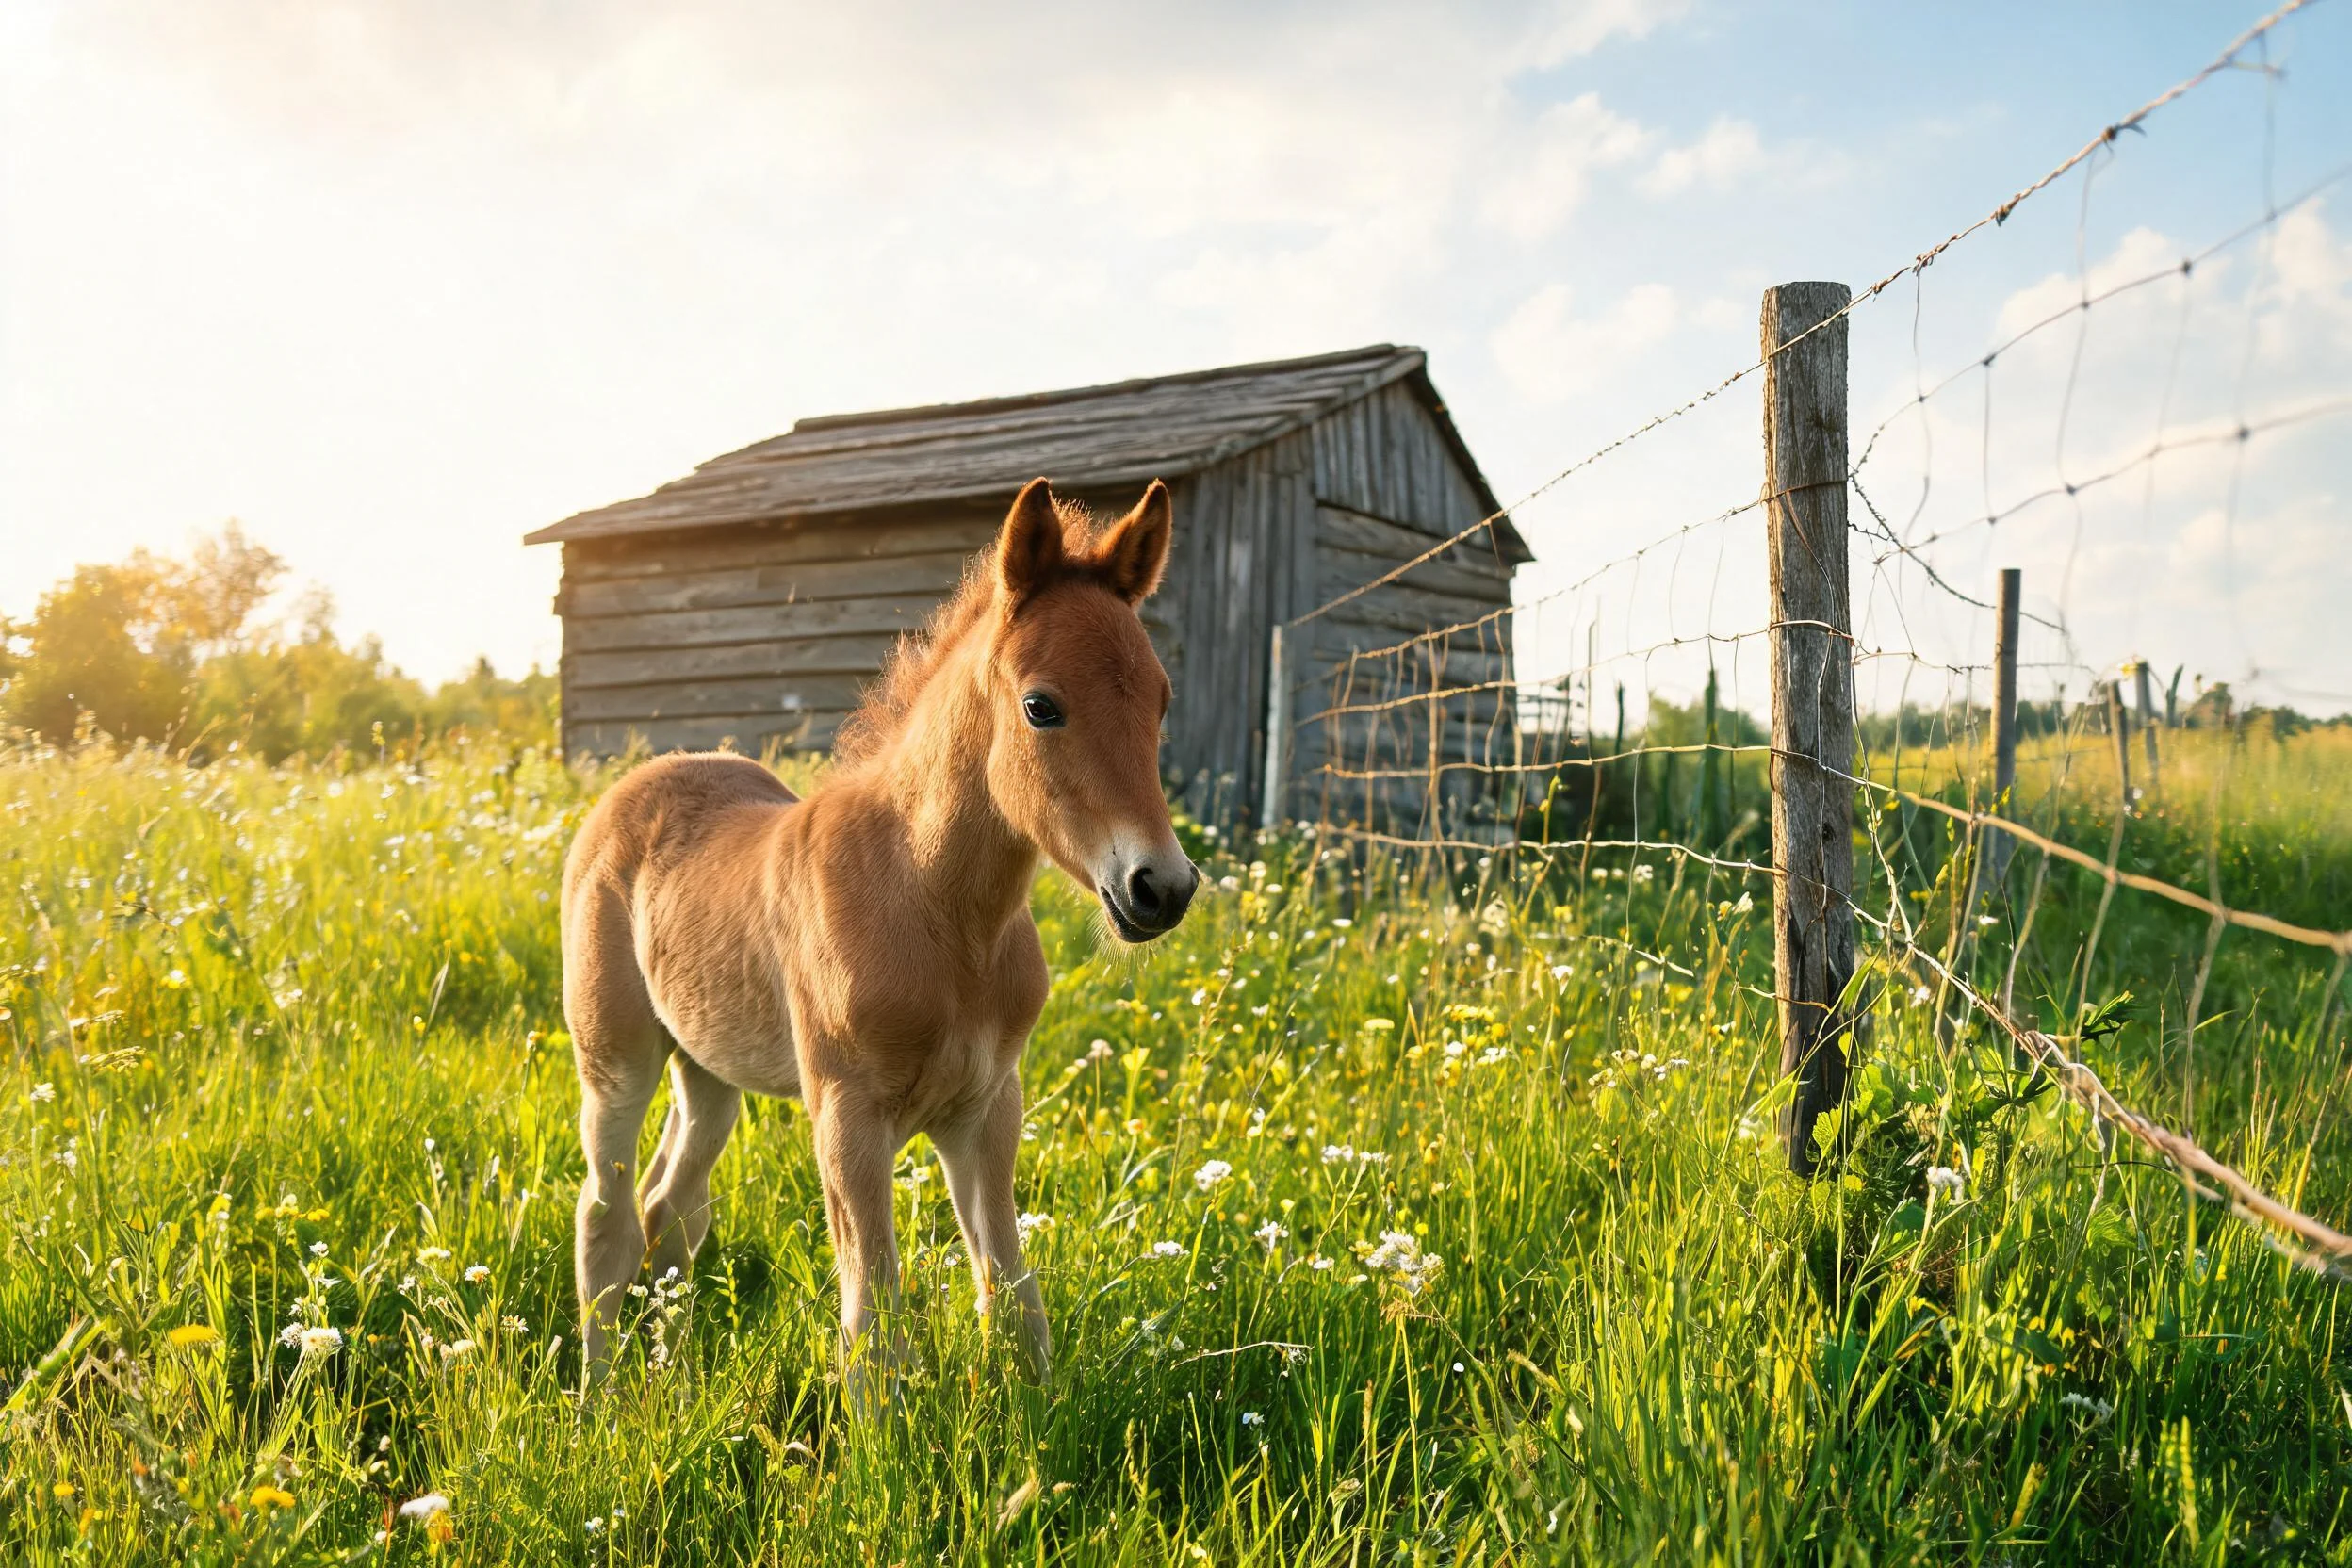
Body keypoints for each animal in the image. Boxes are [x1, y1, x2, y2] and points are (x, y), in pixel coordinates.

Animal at [558, 476, 1198, 1389]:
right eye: (1041, 706)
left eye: (1161, 699)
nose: (1161, 888)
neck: (935, 910)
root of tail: (639, 782)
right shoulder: (846, 1118)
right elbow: (874, 1328)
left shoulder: (987, 1110)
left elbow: (1013, 1302)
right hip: (616, 1057)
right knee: (605, 1214)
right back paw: (600, 1399)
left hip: (709, 1070)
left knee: (670, 1210)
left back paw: (666, 1381)